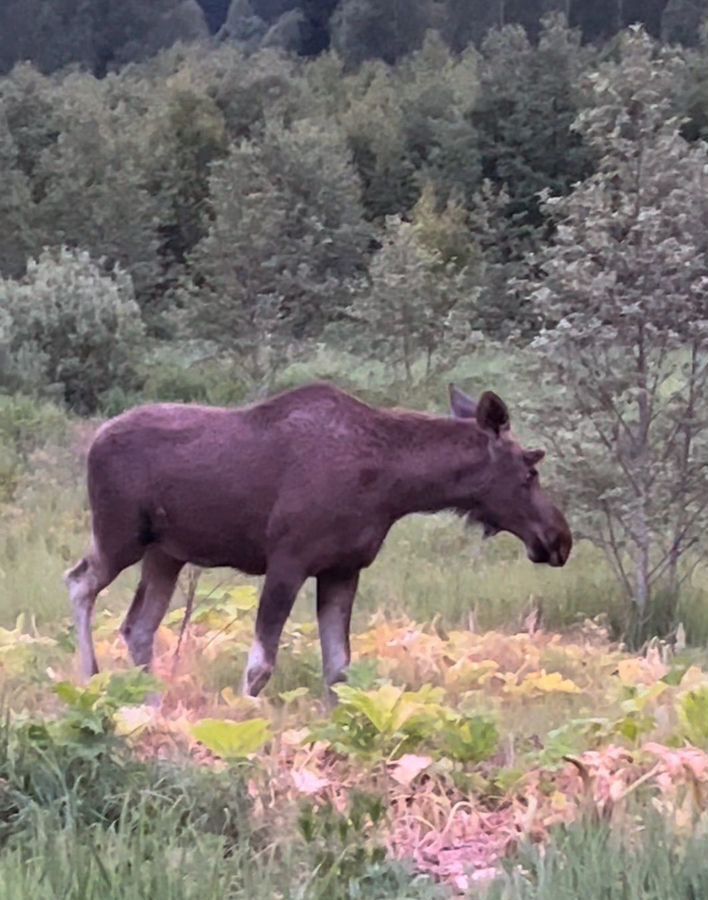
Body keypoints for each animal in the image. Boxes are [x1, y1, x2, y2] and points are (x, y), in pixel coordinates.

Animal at [66, 384, 572, 700]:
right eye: (530, 469)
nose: (559, 538)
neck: (393, 487)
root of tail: (93, 441)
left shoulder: (342, 569)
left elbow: (339, 670)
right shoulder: (287, 562)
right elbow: (260, 667)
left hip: (165, 554)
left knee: (138, 627)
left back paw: (147, 706)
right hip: (120, 536)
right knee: (78, 581)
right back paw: (90, 677)